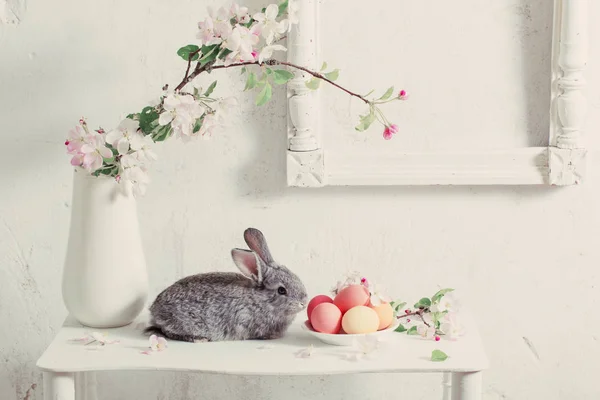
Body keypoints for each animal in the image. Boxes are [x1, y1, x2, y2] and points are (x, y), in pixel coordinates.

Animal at [144, 228, 308, 340]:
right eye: (281, 290)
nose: (304, 302)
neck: (260, 300)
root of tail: (154, 309)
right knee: (167, 331)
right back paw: (198, 339)